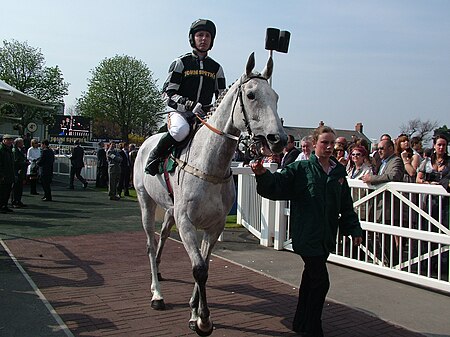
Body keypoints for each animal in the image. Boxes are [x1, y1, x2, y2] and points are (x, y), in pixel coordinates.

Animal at [134, 51, 288, 334]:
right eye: (251, 95)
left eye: (276, 96)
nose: (278, 140)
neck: (208, 164)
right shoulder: (186, 222)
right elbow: (198, 269)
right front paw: (203, 320)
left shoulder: (214, 225)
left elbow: (205, 265)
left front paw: (195, 313)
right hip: (145, 201)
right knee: (150, 244)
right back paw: (157, 294)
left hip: (169, 209)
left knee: (162, 236)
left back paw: (159, 272)